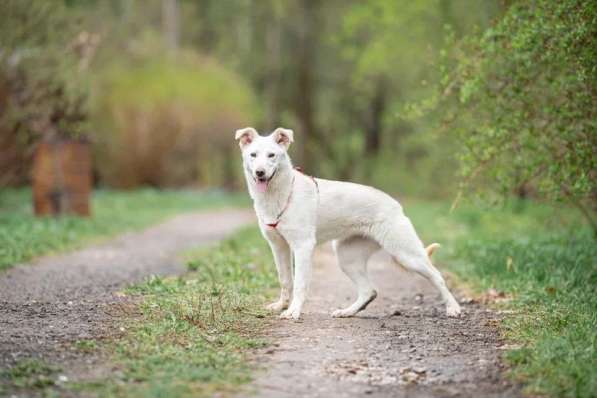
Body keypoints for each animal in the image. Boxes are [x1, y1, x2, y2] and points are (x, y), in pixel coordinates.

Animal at [236, 127, 460, 320]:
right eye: (253, 155)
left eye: (272, 155)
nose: (260, 172)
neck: (279, 195)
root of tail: (395, 204)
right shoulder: (278, 246)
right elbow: (285, 280)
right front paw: (281, 305)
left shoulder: (303, 246)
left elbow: (299, 283)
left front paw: (293, 311)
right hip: (347, 258)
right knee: (369, 291)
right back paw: (348, 311)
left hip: (406, 254)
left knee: (437, 276)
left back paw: (453, 308)